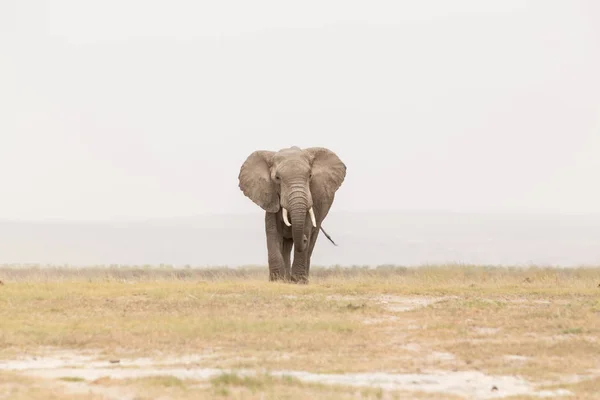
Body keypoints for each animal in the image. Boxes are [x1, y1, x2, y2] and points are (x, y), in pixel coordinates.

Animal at [237, 145, 344, 282]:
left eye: (310, 175)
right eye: (277, 178)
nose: (304, 239)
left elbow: (306, 227)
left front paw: (298, 281)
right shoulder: (270, 197)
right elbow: (273, 232)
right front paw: (277, 280)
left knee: (311, 241)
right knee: (287, 245)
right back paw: (286, 279)